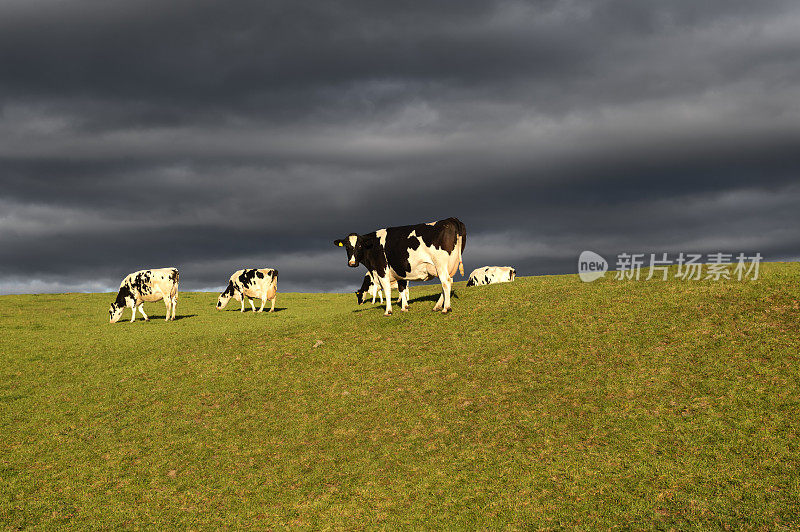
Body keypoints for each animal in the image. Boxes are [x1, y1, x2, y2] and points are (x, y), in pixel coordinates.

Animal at [332, 217, 468, 314]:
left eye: (359, 245)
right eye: (347, 247)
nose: (352, 263)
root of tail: (451, 219)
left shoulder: (382, 270)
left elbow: (387, 290)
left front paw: (388, 311)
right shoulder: (400, 272)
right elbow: (402, 288)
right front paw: (404, 307)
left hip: (440, 263)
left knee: (446, 282)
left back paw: (446, 308)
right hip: (449, 265)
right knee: (448, 282)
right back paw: (438, 306)